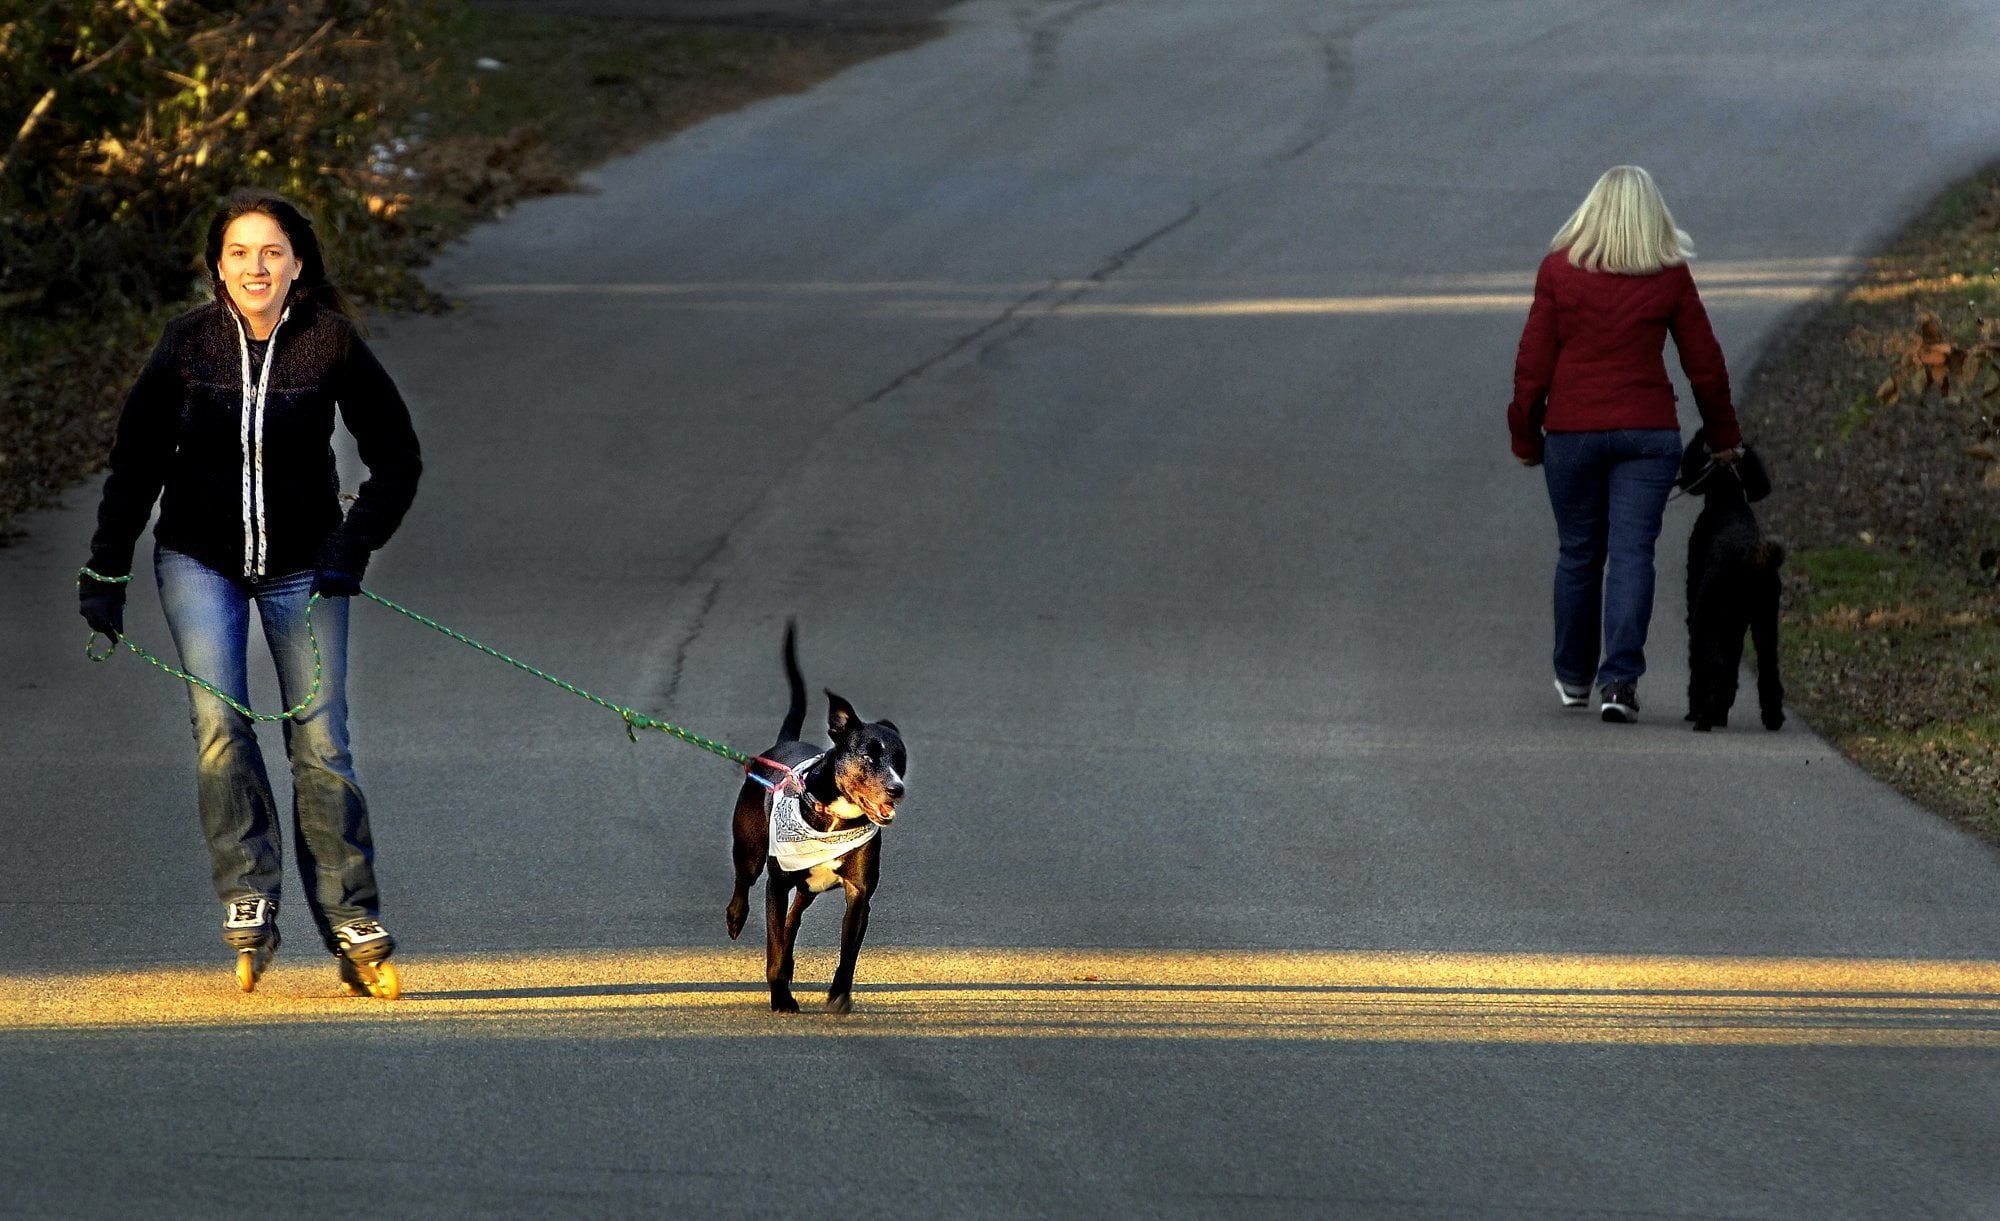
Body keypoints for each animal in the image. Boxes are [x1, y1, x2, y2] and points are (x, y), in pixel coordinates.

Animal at [728, 616, 908, 1008]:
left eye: (900, 758)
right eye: (868, 755)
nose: (897, 788)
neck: (834, 818)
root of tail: (783, 743)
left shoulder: (859, 895)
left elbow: (848, 952)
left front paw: (839, 995)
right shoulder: (777, 883)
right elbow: (773, 944)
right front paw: (782, 997)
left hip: (808, 885)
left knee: (794, 917)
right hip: (750, 848)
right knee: (744, 882)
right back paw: (735, 917)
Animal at [1680, 426, 1792, 728]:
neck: (1727, 499)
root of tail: (1750, 557)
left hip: (1707, 616)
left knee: (1708, 666)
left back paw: (1703, 714)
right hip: (1765, 618)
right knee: (1768, 668)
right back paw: (1771, 717)